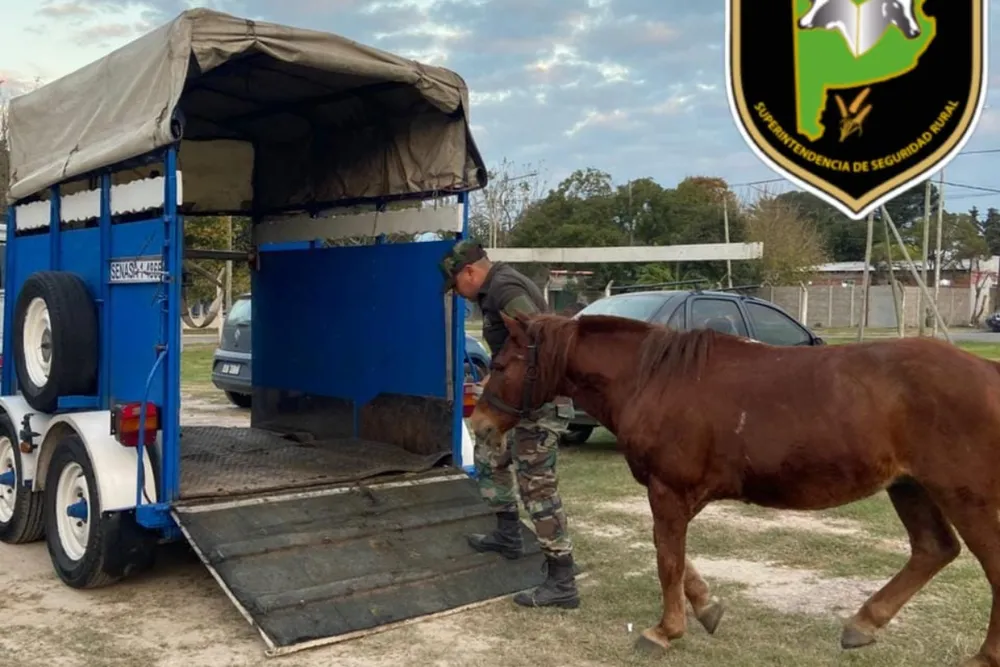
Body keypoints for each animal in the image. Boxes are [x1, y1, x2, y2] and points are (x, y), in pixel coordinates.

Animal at [468, 311, 1000, 667]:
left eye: (502, 363)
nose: (480, 425)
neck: (653, 379)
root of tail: (988, 372)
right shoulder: (672, 495)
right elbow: (674, 556)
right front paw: (706, 609)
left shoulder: (668, 490)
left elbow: (667, 558)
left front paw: (665, 631)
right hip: (911, 487)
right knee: (933, 550)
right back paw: (862, 624)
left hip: (964, 494)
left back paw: (983, 656)